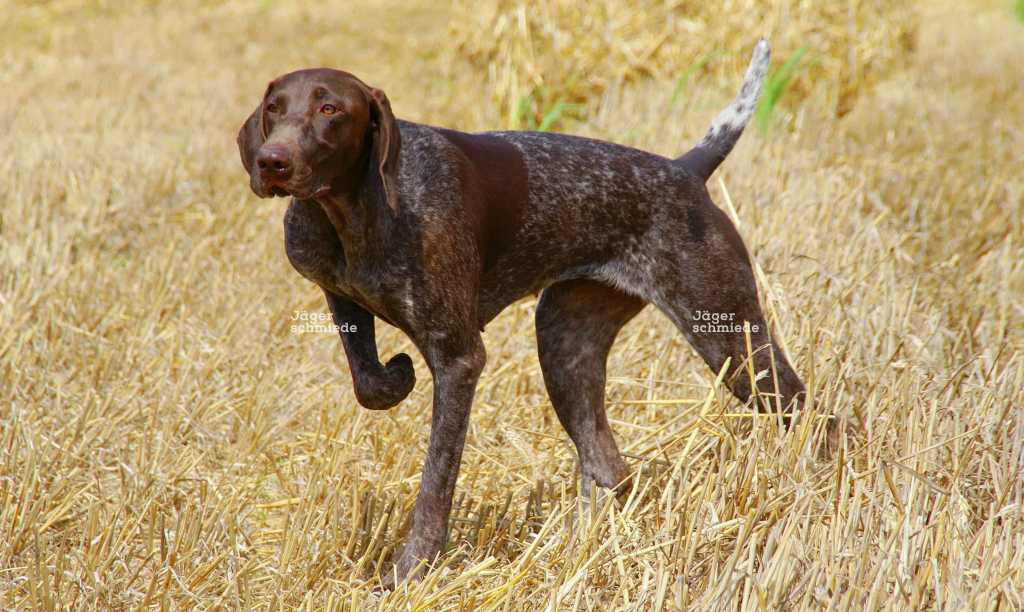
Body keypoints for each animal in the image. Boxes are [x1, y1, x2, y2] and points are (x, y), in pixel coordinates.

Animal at [235, 38, 802, 585]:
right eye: (273, 108)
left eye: (330, 108)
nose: (272, 161)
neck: (357, 208)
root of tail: (684, 169)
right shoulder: (339, 293)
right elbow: (369, 382)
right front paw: (395, 377)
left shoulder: (459, 359)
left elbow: (436, 481)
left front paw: (412, 569)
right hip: (565, 345)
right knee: (607, 465)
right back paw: (580, 551)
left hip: (728, 336)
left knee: (805, 409)